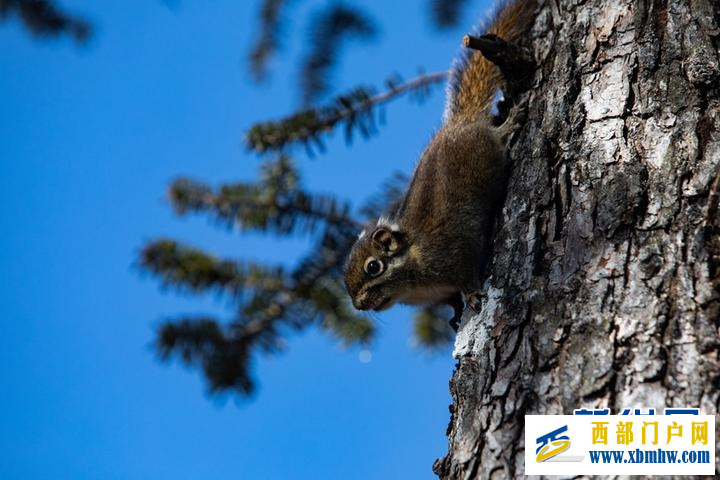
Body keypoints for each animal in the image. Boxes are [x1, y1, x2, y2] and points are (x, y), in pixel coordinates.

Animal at [342, 0, 536, 330]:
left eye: (373, 267)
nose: (359, 305)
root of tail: (460, 122)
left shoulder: (457, 252)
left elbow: (468, 275)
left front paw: (472, 295)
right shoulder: (439, 292)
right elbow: (450, 300)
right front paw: (455, 313)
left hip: (483, 147)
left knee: (493, 135)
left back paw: (508, 124)